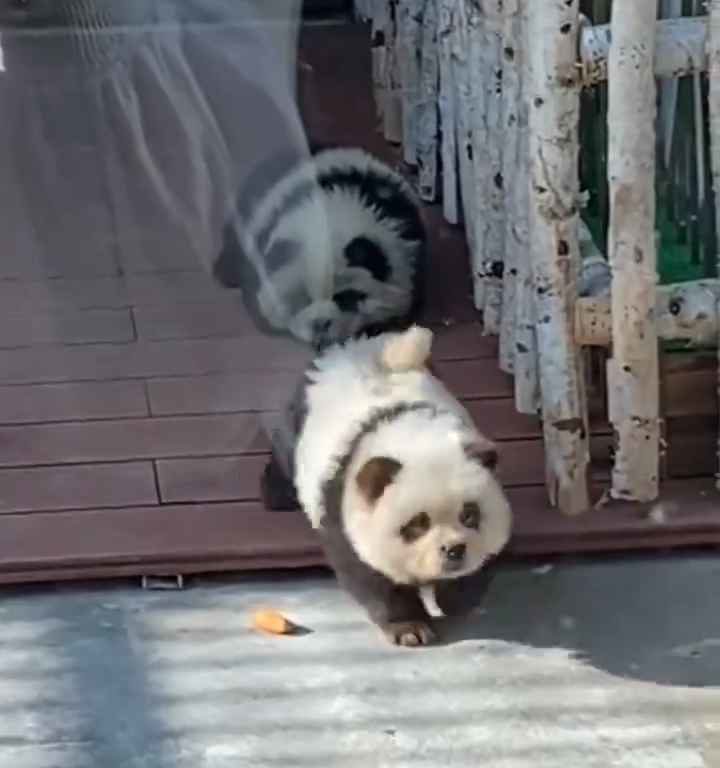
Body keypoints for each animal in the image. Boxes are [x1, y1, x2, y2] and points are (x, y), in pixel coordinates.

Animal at [262, 324, 512, 648]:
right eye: (417, 523)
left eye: (469, 514)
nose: (454, 550)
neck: (411, 436)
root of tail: (351, 347)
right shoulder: (342, 512)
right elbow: (370, 575)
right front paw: (409, 628)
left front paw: (455, 598)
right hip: (298, 421)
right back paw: (275, 491)